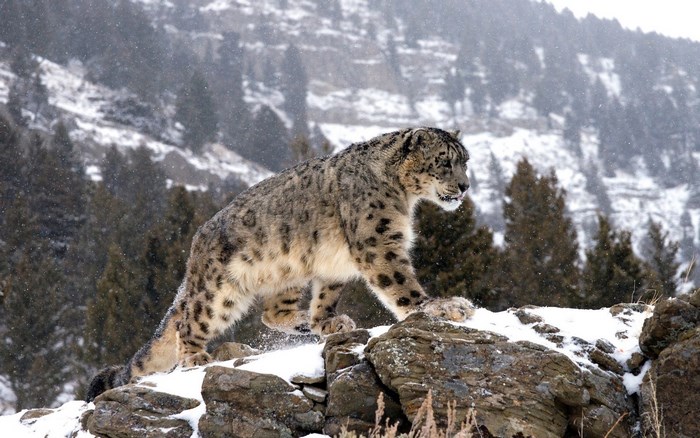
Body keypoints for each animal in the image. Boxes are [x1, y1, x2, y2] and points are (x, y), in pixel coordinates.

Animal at [86, 127, 475, 401]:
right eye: (444, 161)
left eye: (465, 161)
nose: (465, 186)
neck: (404, 198)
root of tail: (196, 244)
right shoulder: (377, 243)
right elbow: (401, 284)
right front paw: (441, 306)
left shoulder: (336, 263)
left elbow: (327, 294)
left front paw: (327, 321)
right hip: (218, 292)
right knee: (189, 320)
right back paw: (195, 357)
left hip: (288, 272)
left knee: (271, 312)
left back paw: (303, 321)